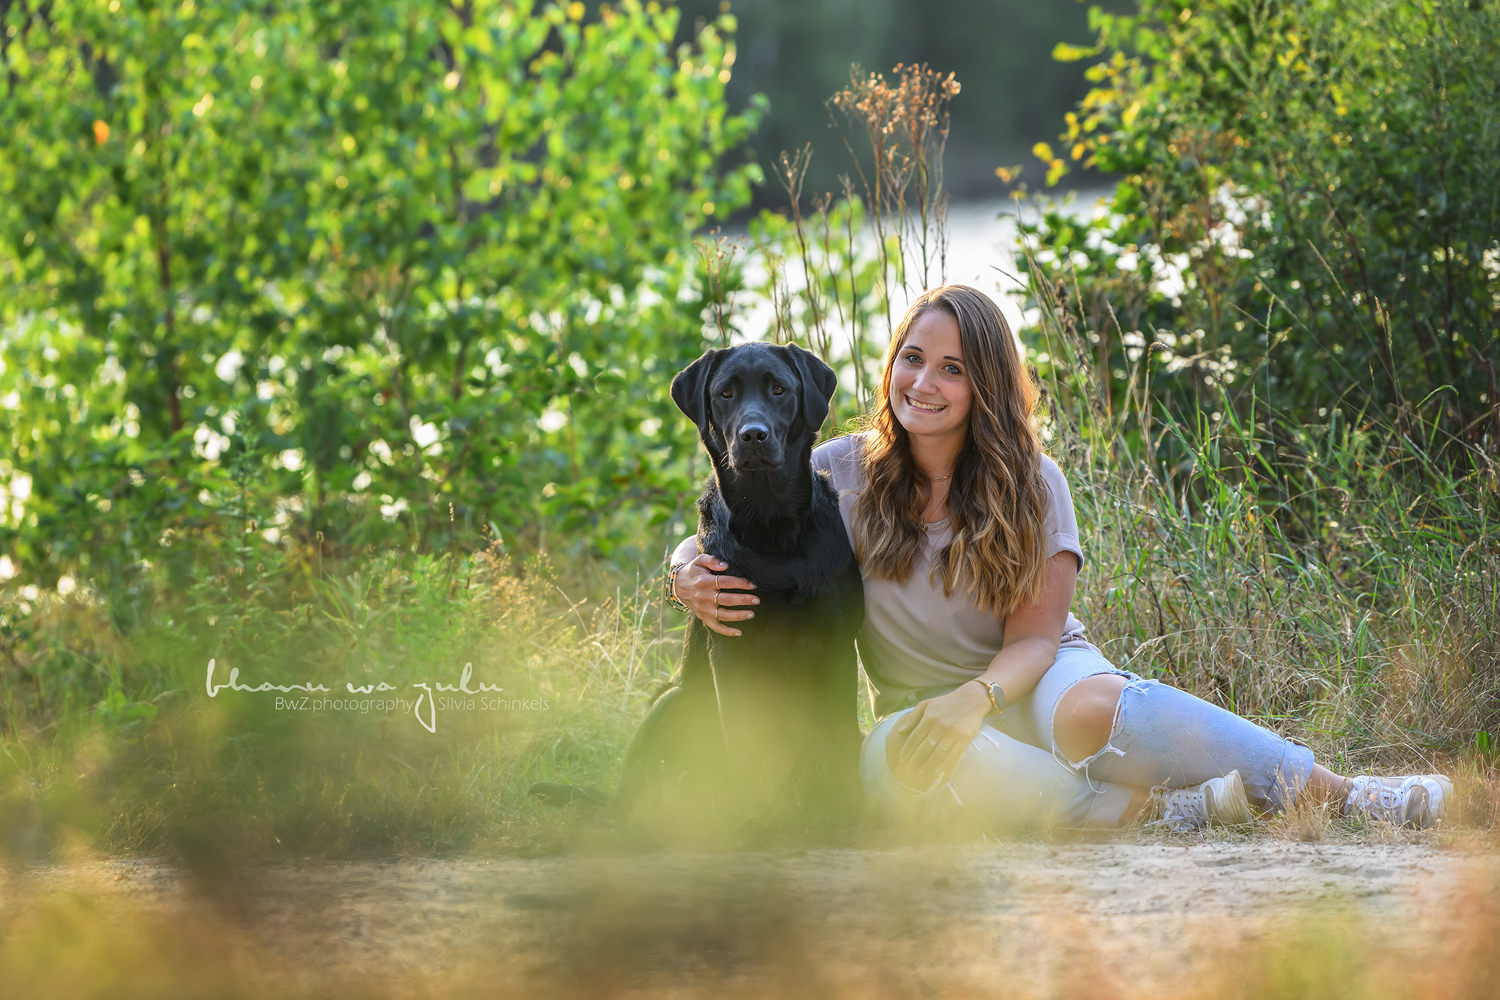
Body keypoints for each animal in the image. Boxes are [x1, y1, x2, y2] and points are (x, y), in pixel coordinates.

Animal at [609, 344, 864, 839]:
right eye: (725, 393)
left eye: (779, 389)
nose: (753, 436)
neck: (772, 526)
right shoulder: (731, 652)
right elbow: (746, 747)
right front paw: (754, 819)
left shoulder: (839, 648)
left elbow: (841, 742)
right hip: (672, 701)